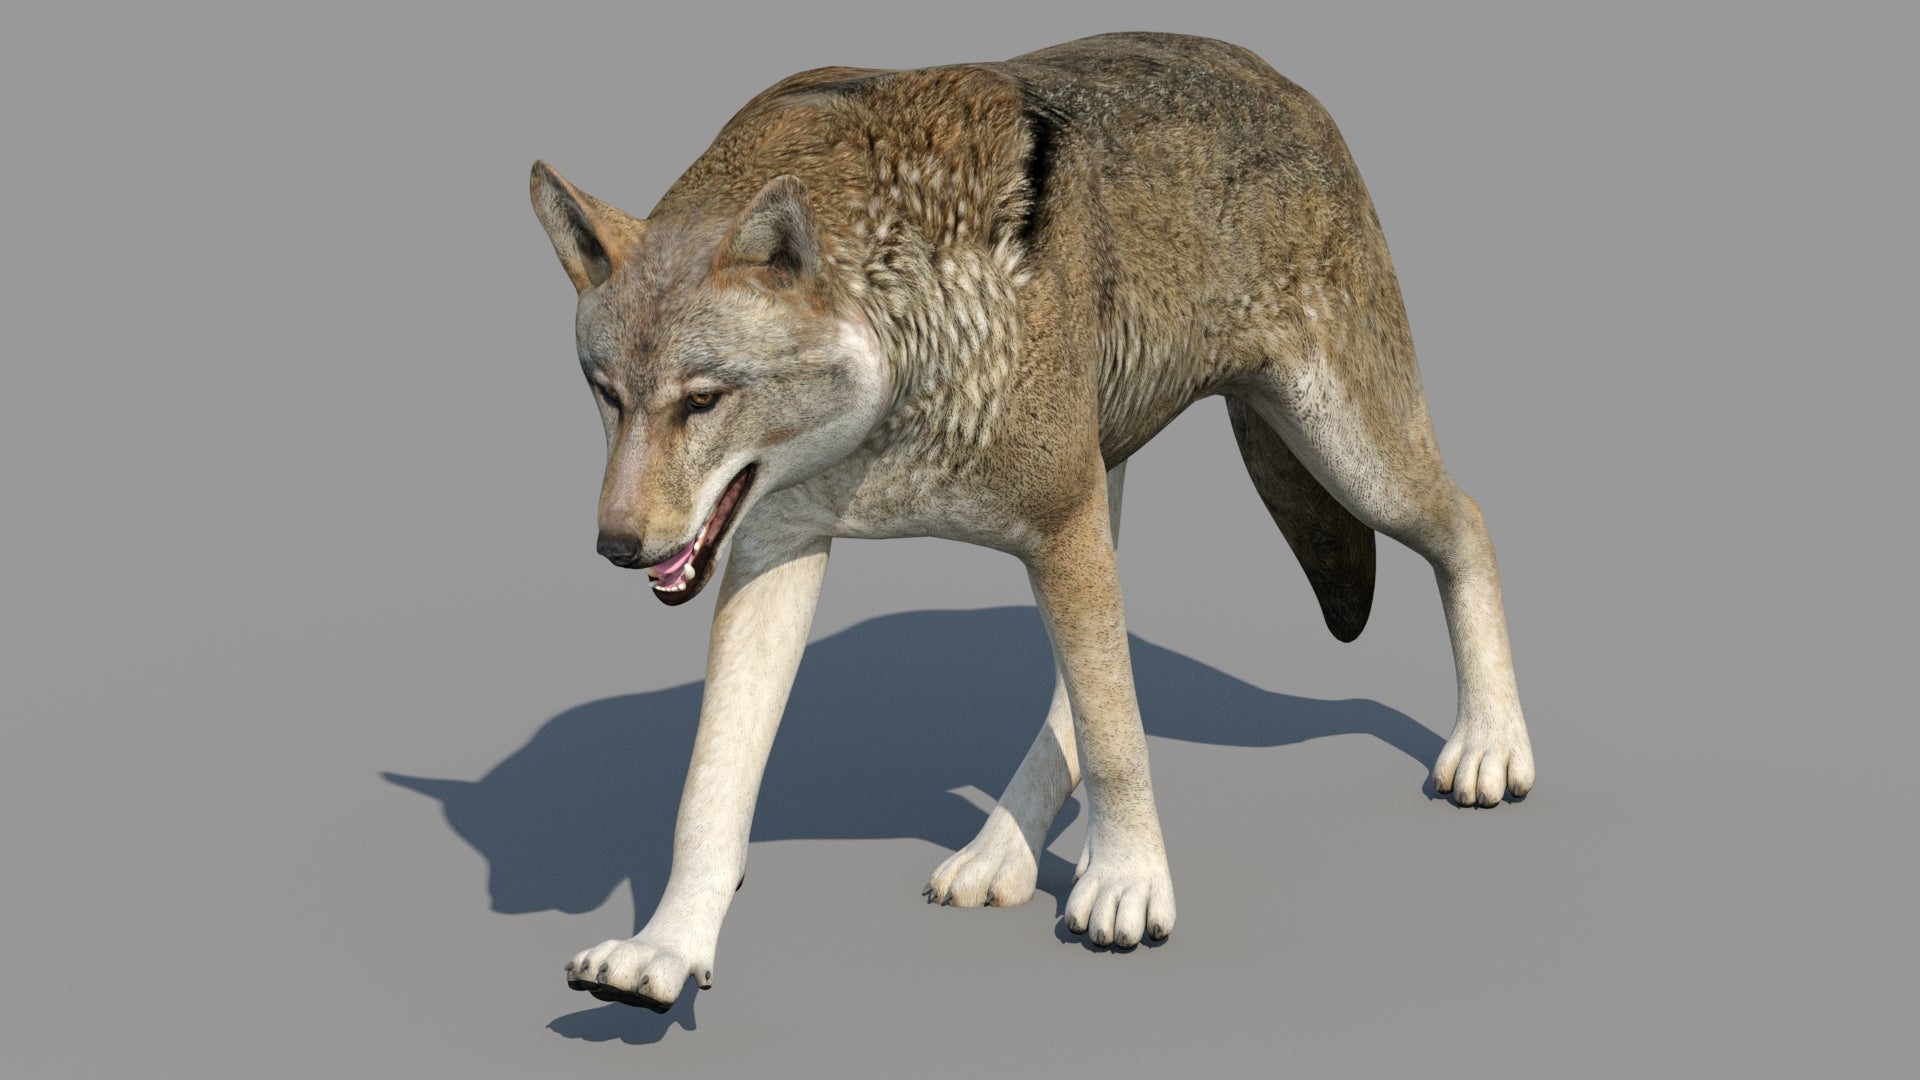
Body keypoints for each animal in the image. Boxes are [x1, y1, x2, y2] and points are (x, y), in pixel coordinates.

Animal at [529, 31, 1535, 1012]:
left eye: (702, 400)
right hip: (1116, 485)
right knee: (1081, 684)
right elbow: (711, 790)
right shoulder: (779, 546)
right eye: (607, 394)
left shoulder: (1056, 521)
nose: (617, 547)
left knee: (1470, 519)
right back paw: (998, 856)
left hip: (1347, 460)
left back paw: (1491, 744)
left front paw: (1129, 884)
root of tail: (1283, 79)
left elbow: (1117, 733)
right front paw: (666, 948)